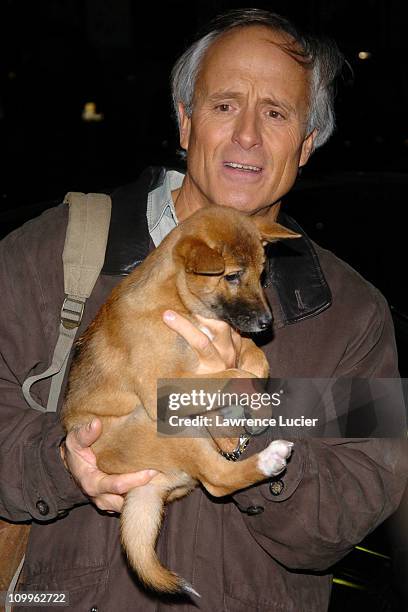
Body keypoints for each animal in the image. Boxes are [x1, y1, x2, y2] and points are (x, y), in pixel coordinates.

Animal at [62, 206, 302, 596]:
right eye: (232, 276)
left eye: (262, 274)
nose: (268, 323)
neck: (176, 299)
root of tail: (148, 488)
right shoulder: (162, 390)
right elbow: (234, 373)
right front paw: (250, 403)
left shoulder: (231, 341)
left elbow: (254, 358)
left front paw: (257, 404)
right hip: (160, 427)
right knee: (218, 479)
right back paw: (268, 458)